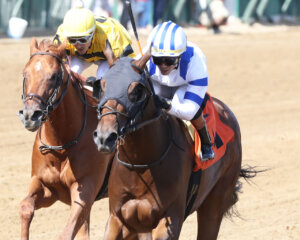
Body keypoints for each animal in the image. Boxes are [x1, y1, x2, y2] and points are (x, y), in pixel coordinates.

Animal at [17, 38, 113, 239]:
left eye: (54, 76)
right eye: (25, 73)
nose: (30, 115)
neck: (61, 144)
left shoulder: (85, 189)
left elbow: (67, 233)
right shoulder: (46, 186)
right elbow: (25, 207)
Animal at [92, 50, 255, 238]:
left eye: (137, 89)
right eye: (102, 86)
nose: (105, 137)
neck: (141, 163)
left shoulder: (170, 218)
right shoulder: (119, 219)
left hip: (215, 203)